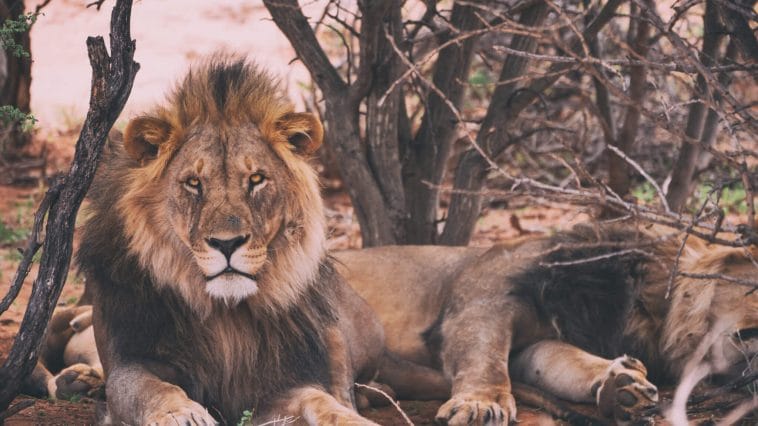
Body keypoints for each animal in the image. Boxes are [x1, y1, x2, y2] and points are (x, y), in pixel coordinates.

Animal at [65, 56, 385, 425]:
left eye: (257, 179)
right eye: (193, 183)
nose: (227, 244)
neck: (225, 317)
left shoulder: (277, 382)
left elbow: (319, 398)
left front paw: (348, 418)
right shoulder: (127, 361)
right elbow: (150, 388)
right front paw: (184, 414)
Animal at [335, 224, 758, 425]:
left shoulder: (540, 341)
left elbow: (563, 363)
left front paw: (624, 386)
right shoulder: (486, 294)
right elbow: (484, 355)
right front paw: (481, 403)